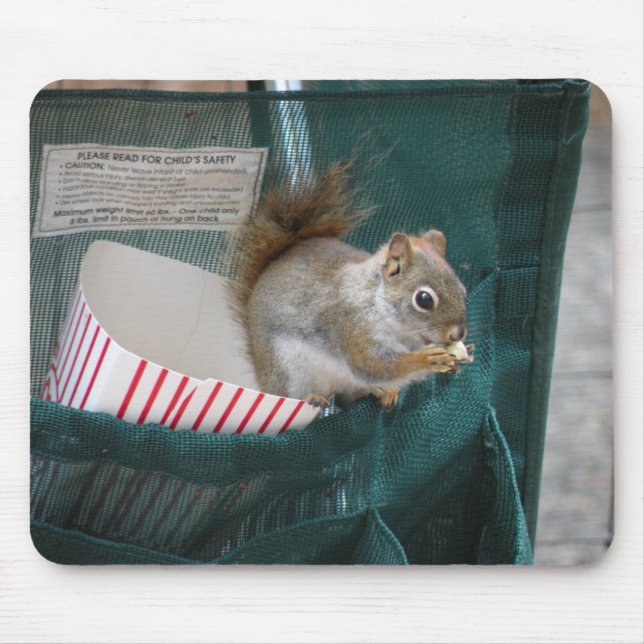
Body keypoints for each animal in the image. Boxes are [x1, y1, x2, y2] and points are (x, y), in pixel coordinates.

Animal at [229, 162, 473, 411]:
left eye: (463, 292)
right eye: (424, 299)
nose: (458, 333)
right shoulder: (351, 326)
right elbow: (375, 365)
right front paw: (425, 359)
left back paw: (381, 391)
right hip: (287, 371)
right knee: (292, 394)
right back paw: (312, 397)